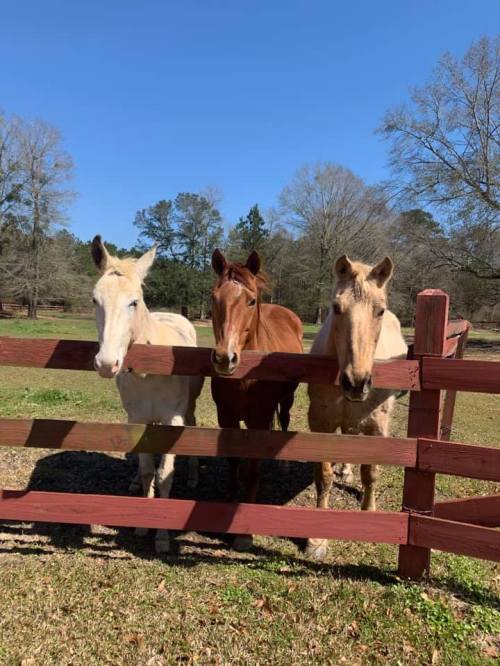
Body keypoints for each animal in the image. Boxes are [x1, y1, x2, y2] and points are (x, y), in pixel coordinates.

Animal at [91, 235, 203, 553]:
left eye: (134, 302)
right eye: (95, 300)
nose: (107, 363)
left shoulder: (172, 420)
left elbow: (165, 475)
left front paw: (162, 536)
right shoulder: (138, 419)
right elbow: (146, 471)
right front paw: (143, 523)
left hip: (188, 410)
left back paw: (193, 478)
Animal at [210, 248, 303, 551]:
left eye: (251, 301)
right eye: (213, 297)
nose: (224, 358)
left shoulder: (259, 422)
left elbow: (252, 470)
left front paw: (243, 532)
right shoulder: (226, 418)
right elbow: (232, 460)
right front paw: (229, 497)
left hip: (288, 399)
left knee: (284, 420)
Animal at [306, 254, 407, 559]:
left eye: (380, 311)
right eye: (336, 308)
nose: (356, 383)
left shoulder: (377, 427)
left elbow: (371, 472)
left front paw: (369, 513)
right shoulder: (321, 424)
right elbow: (324, 476)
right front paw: (316, 539)